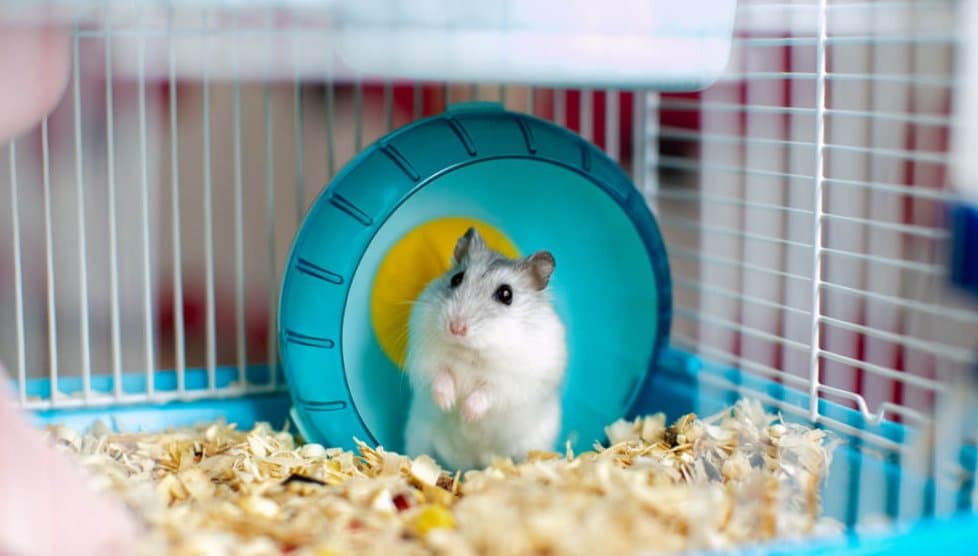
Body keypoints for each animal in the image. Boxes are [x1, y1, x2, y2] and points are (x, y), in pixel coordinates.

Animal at [403, 227, 568, 470]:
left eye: (506, 294)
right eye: (456, 278)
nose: (456, 328)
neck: (470, 352)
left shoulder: (513, 383)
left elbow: (488, 392)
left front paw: (466, 414)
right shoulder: (428, 360)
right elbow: (441, 375)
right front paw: (448, 403)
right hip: (417, 435)